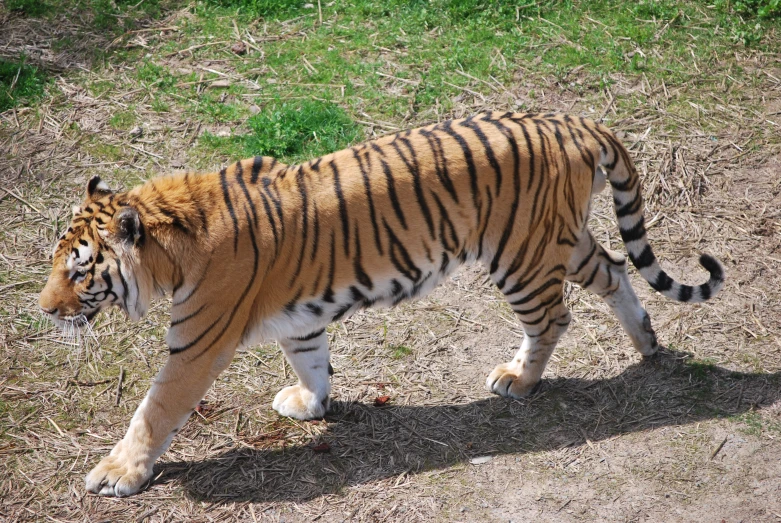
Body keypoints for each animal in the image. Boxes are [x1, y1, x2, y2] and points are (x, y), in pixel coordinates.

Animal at [39, 112, 724, 498]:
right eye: (55, 260)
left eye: (79, 270)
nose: (44, 309)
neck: (171, 241)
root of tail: (574, 123)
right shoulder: (300, 319)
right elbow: (312, 360)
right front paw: (311, 404)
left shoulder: (197, 343)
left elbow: (153, 411)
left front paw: (117, 473)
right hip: (561, 238)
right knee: (614, 271)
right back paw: (647, 344)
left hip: (522, 256)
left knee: (555, 316)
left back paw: (519, 380)